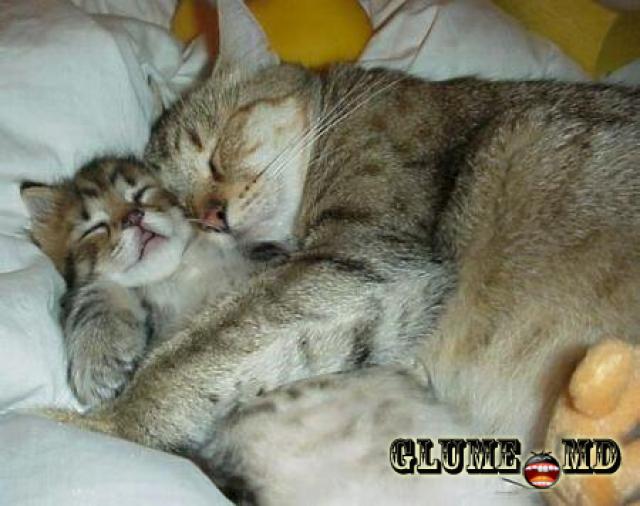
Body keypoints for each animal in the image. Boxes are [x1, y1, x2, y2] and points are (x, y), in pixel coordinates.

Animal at [21, 156, 261, 407]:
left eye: (140, 194)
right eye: (96, 227)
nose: (134, 217)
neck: (175, 277)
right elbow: (96, 289)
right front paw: (98, 357)